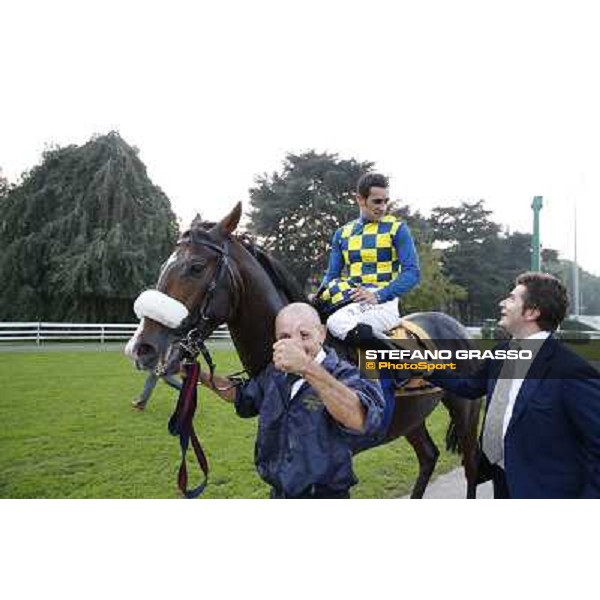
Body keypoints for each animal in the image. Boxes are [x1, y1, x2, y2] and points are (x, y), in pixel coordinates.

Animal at [131, 202, 482, 496]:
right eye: (164, 266)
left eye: (196, 266)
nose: (144, 347)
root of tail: (455, 325)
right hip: (412, 416)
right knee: (429, 456)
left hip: (466, 410)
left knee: (471, 465)